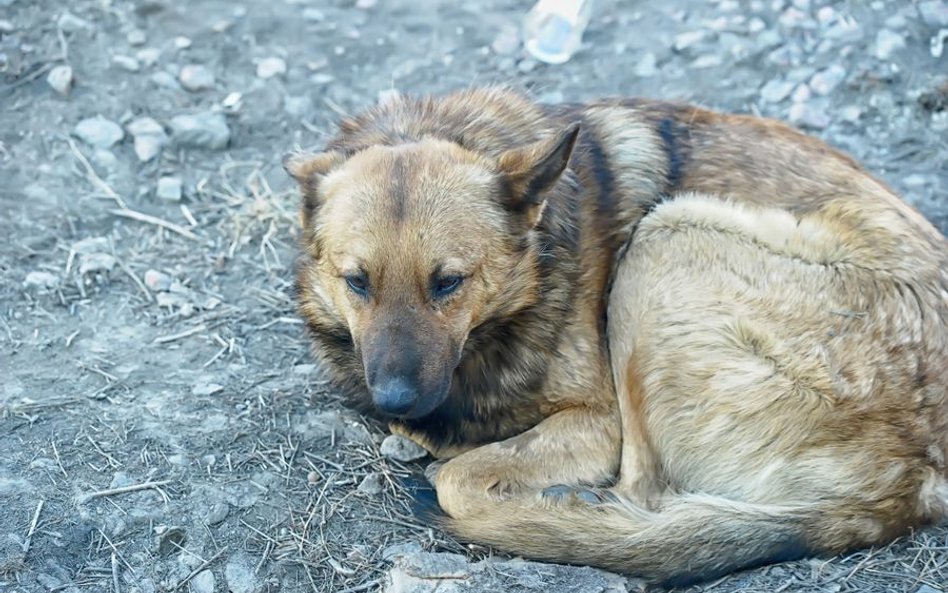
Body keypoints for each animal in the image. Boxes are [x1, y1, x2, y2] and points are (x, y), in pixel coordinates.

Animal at [284, 88, 948, 588]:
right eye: (356, 281)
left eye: (448, 282)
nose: (394, 400)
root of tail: (913, 479)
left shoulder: (598, 423)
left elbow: (461, 475)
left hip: (665, 236)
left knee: (643, 498)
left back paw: (563, 514)